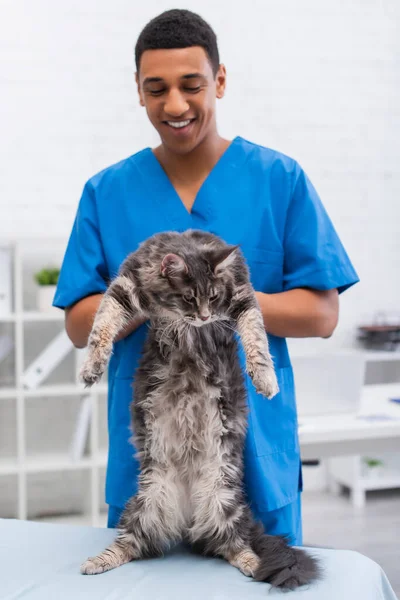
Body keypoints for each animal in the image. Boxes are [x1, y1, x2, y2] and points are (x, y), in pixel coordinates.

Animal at [79, 230, 320, 592]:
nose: (206, 317)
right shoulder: (124, 288)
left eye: (214, 295)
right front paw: (91, 368)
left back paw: (253, 563)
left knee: (234, 543)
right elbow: (101, 326)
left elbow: (256, 337)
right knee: (131, 543)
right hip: (146, 502)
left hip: (225, 500)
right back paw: (98, 562)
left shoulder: (242, 296)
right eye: (190, 298)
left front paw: (265, 379)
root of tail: (187, 512)